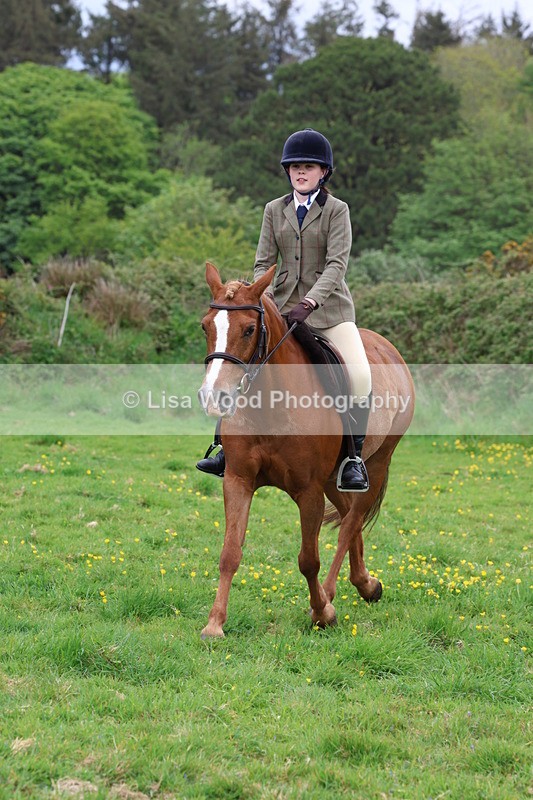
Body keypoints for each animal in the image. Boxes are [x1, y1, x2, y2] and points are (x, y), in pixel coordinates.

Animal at [198, 262, 415, 638]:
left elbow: (308, 559)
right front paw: (215, 624)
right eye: (205, 326)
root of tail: (388, 348)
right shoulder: (238, 480)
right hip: (332, 477)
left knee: (350, 522)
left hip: (377, 464)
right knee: (347, 515)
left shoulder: (309, 491)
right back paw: (365, 584)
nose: (214, 397)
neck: (271, 404)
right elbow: (230, 552)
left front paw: (321, 613)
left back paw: (331, 593)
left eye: (249, 329)